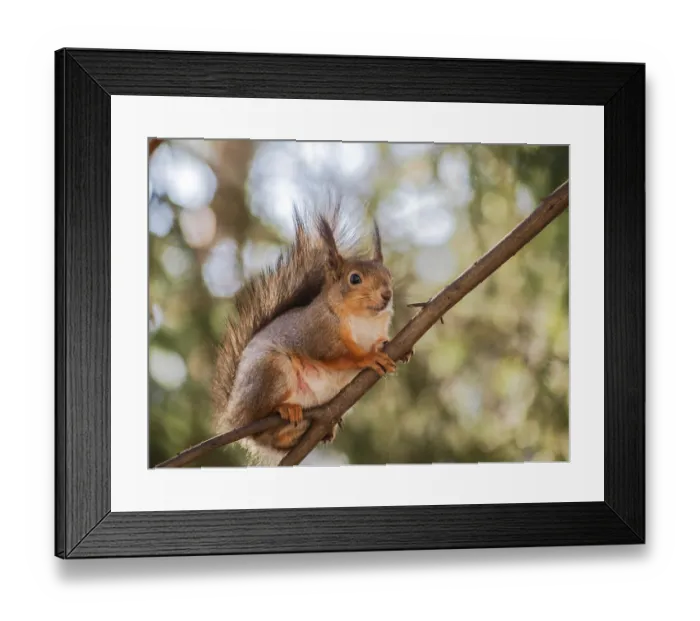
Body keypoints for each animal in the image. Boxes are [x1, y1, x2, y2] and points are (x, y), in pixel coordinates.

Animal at [210, 203, 411, 465]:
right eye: (354, 278)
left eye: (389, 275)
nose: (387, 294)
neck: (364, 320)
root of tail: (234, 417)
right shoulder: (317, 334)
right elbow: (335, 355)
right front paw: (367, 357)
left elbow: (379, 341)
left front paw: (391, 347)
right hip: (270, 370)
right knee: (259, 422)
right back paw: (283, 410)